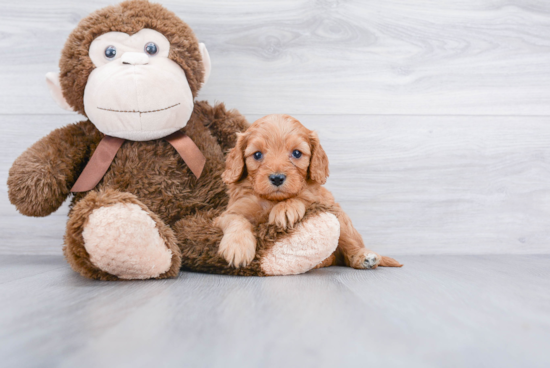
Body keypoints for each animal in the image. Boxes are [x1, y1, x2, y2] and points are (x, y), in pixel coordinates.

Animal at [213, 113, 404, 268]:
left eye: (297, 153)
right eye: (257, 155)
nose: (277, 178)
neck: (272, 201)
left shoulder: (321, 200)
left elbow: (304, 198)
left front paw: (286, 209)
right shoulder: (227, 214)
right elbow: (236, 220)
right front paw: (237, 246)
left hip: (340, 218)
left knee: (350, 247)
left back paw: (364, 257)